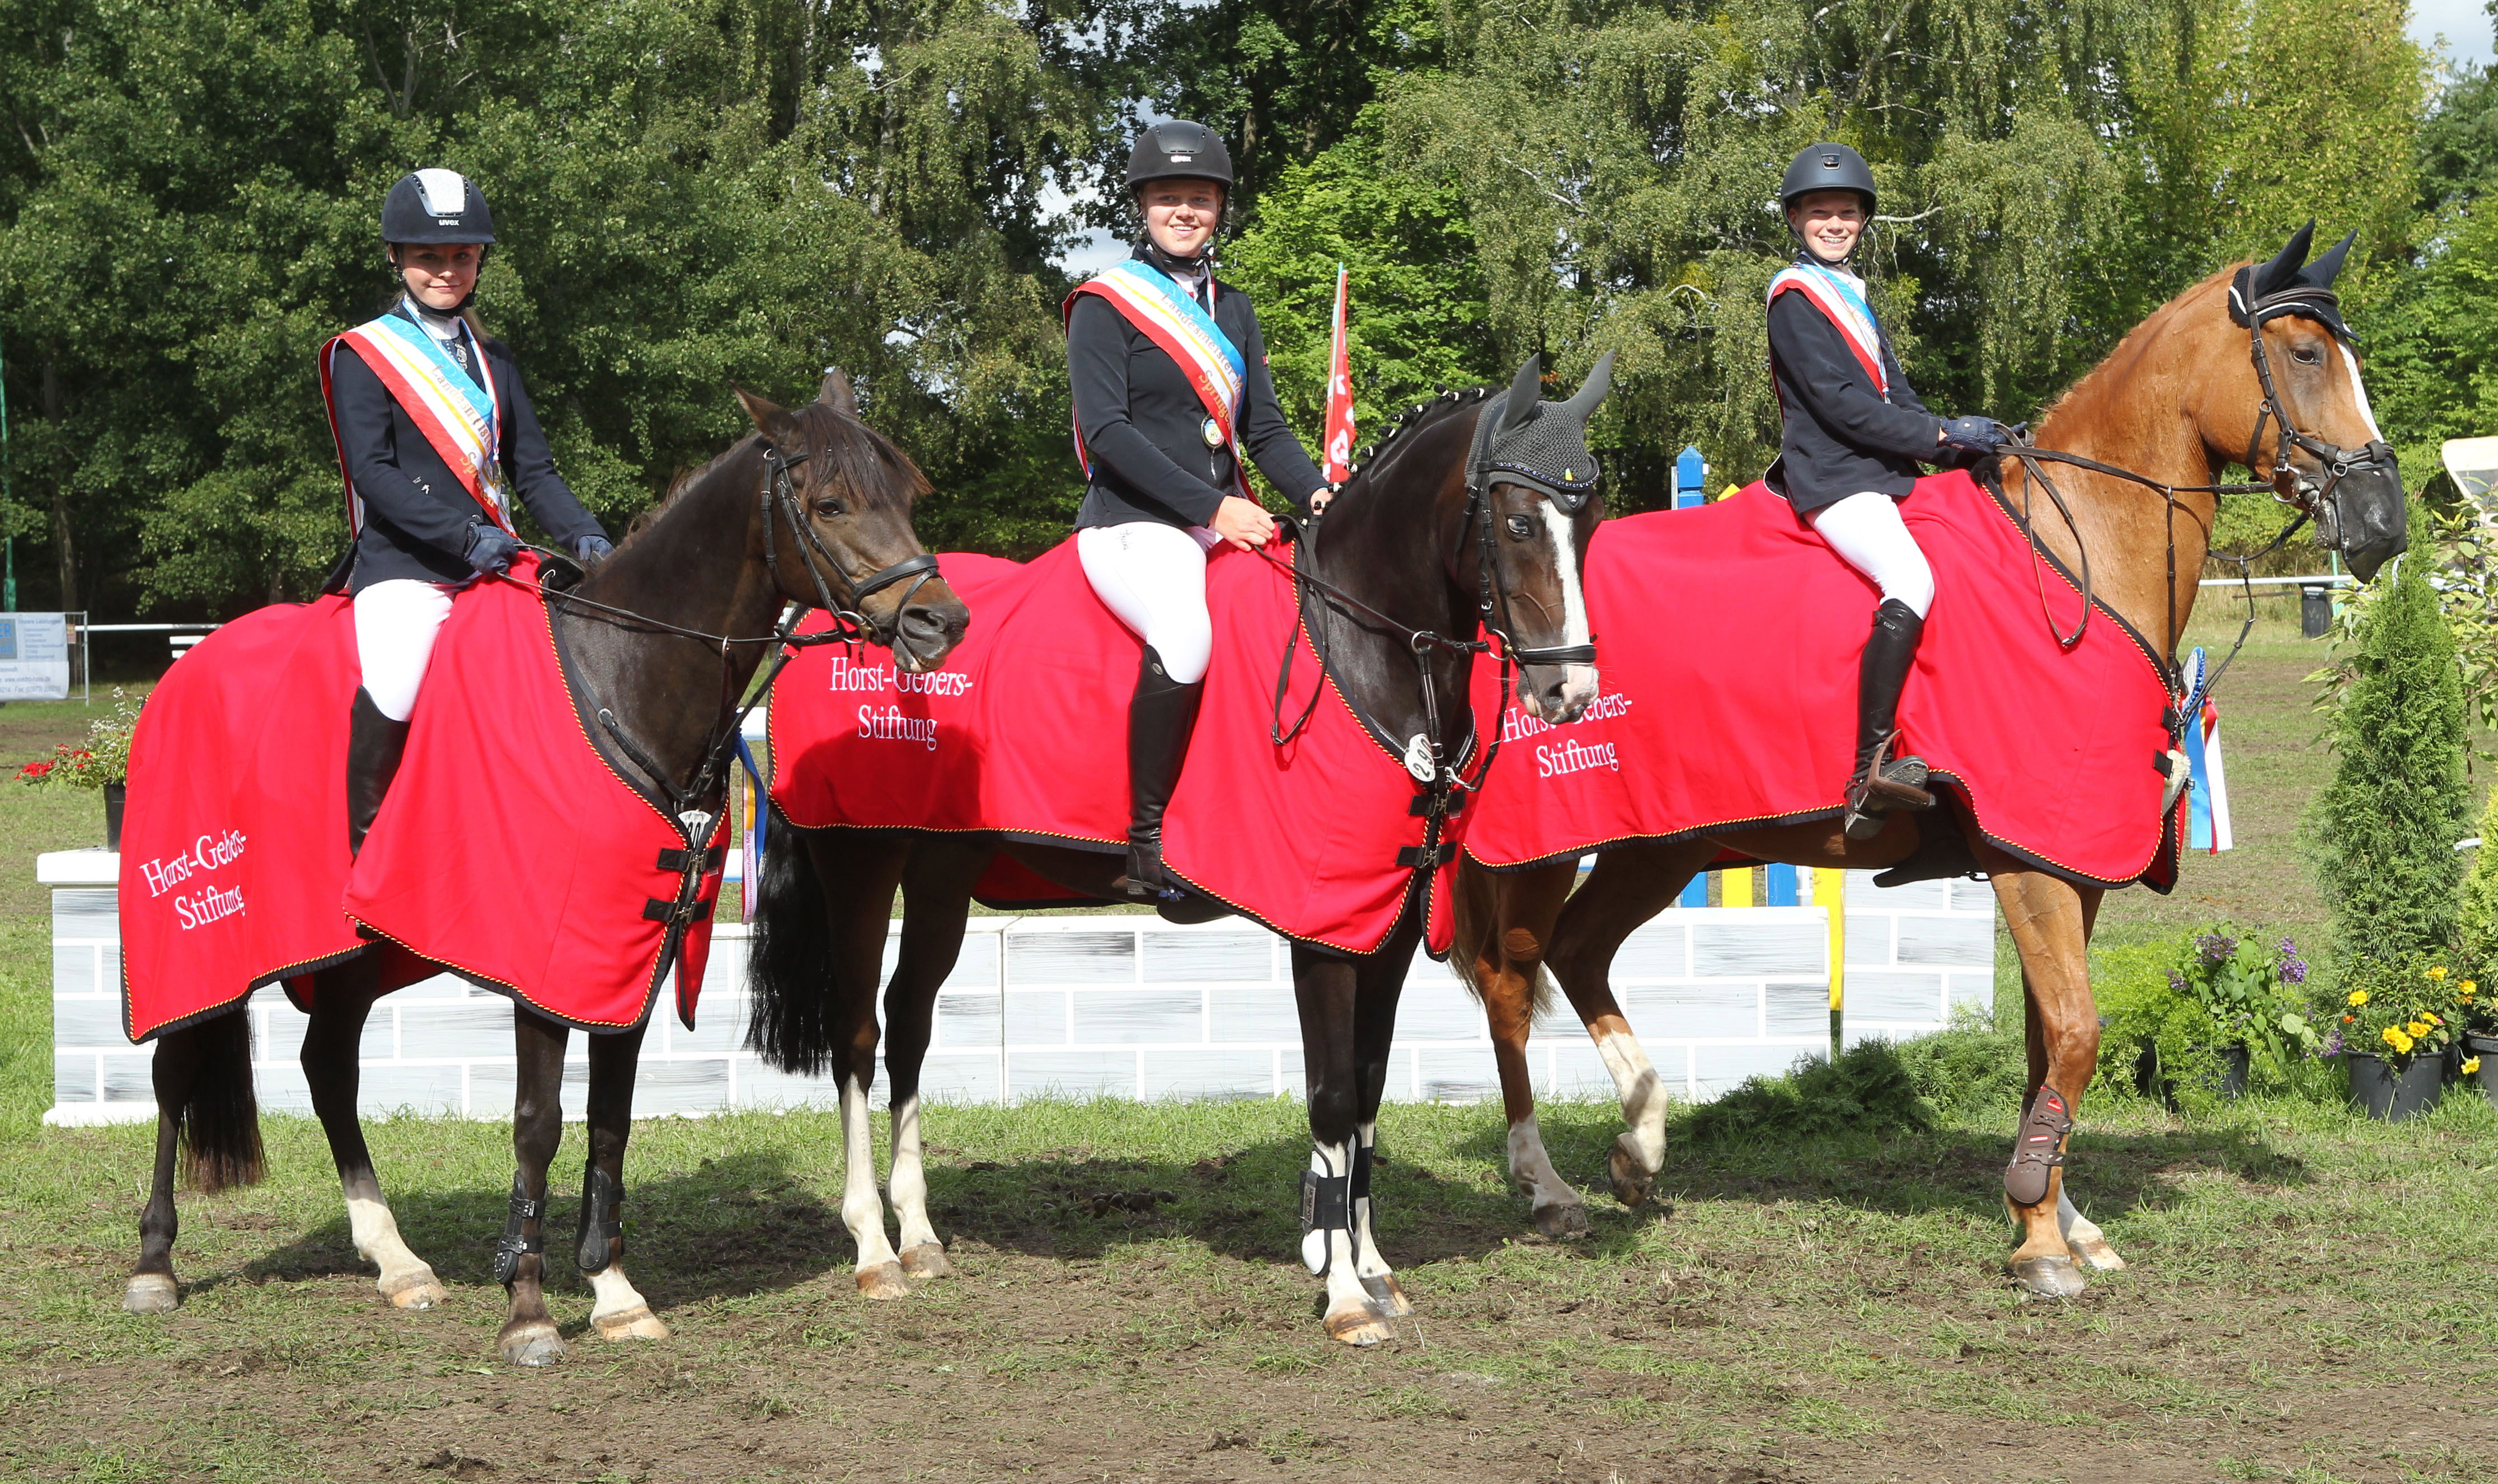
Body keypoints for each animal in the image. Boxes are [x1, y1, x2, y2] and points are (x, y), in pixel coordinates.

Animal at [121, 372, 969, 1359]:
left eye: (906, 497)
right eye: (830, 503)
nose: (941, 620)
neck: (622, 677)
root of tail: (184, 671)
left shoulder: (628, 957)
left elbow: (609, 1120)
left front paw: (612, 1289)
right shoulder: (546, 960)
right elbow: (538, 1123)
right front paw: (527, 1310)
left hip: (357, 956)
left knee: (328, 1066)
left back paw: (397, 1262)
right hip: (203, 941)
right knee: (174, 1069)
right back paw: (154, 1264)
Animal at [729, 354, 1608, 1339]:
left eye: (1590, 522)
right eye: (1519, 521)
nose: (1570, 692)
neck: (1358, 645)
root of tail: (824, 624)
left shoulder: (1379, 926)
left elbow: (1371, 1094)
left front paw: (1375, 1267)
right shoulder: (1321, 926)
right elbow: (1334, 1098)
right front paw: (1343, 1293)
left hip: (942, 873)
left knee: (910, 1022)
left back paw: (919, 1236)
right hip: (861, 865)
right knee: (856, 1032)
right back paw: (873, 1246)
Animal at [1458, 222, 2408, 1299]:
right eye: (2305, 355)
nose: (2383, 523)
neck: (2072, 557)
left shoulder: (2065, 857)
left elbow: (2049, 1046)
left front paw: (2057, 1219)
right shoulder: (2028, 858)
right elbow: (2074, 1033)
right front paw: (2038, 1233)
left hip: (1662, 844)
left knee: (1577, 956)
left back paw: (1638, 1149)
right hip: (1547, 843)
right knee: (1511, 983)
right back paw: (1547, 1187)